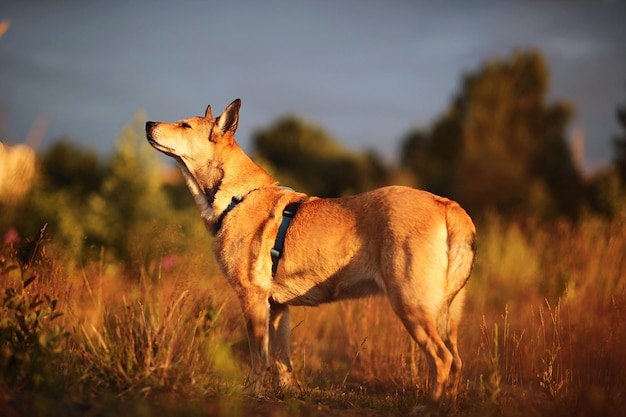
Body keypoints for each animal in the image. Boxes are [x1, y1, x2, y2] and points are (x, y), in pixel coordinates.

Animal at [146, 98, 476, 406]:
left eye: (185, 126)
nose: (148, 123)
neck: (237, 196)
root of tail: (448, 205)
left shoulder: (252, 298)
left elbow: (259, 356)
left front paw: (251, 392)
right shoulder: (277, 307)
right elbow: (282, 359)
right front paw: (287, 394)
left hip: (411, 304)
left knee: (442, 359)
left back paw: (430, 406)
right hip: (447, 314)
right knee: (457, 361)